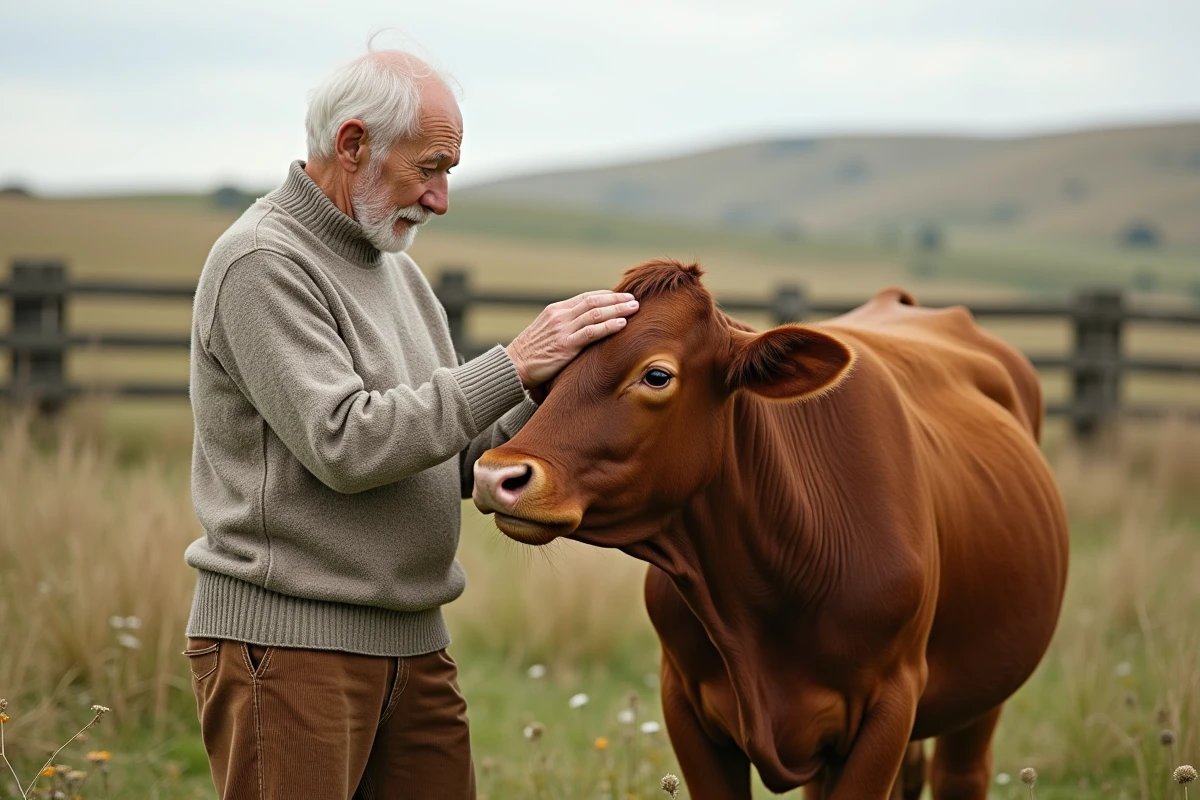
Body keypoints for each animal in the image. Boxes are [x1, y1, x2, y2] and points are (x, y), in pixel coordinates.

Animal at [472, 260, 1069, 800]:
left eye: (656, 375)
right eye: (547, 379)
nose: (496, 474)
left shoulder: (891, 705)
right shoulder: (685, 705)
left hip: (983, 690)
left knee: (959, 775)